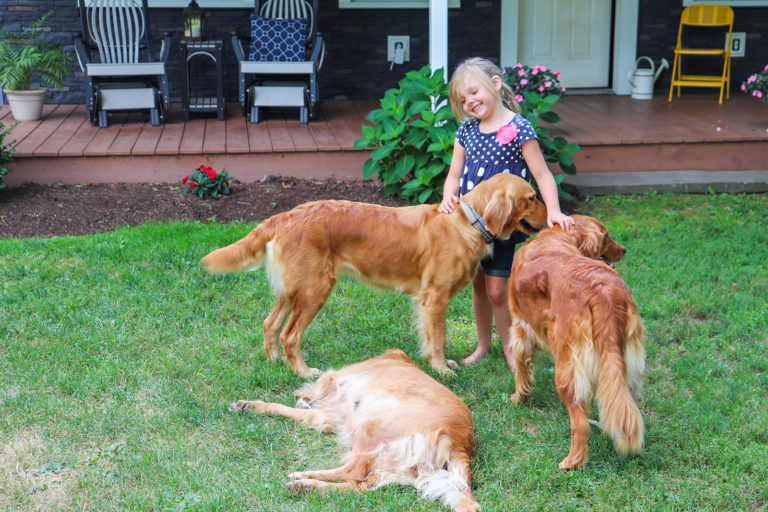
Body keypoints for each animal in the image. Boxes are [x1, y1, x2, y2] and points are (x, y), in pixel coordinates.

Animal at [231, 348, 476, 512]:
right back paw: (307, 486)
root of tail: (460, 444)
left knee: (351, 471)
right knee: (357, 486)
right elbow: (289, 410)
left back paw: (303, 477)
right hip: (394, 469)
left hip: (371, 428)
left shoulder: (332, 380)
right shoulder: (329, 414)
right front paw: (251, 406)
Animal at [508, 214, 644, 470]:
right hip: (624, 359)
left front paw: (519, 398)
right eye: (607, 236)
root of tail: (600, 291)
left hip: (566, 369)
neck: (562, 236)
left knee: (580, 423)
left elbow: (521, 370)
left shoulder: (521, 329)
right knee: (621, 400)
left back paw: (572, 462)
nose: (624, 249)